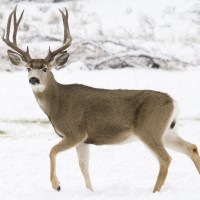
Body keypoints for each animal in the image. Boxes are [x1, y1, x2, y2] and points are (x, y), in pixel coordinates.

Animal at [2, 7, 200, 193]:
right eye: (28, 68)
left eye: (44, 68)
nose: (33, 80)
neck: (57, 103)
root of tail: (173, 102)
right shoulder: (84, 140)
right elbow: (84, 167)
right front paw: (90, 192)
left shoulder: (75, 132)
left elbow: (52, 151)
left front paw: (56, 185)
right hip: (166, 131)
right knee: (191, 147)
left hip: (149, 129)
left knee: (165, 159)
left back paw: (154, 191)